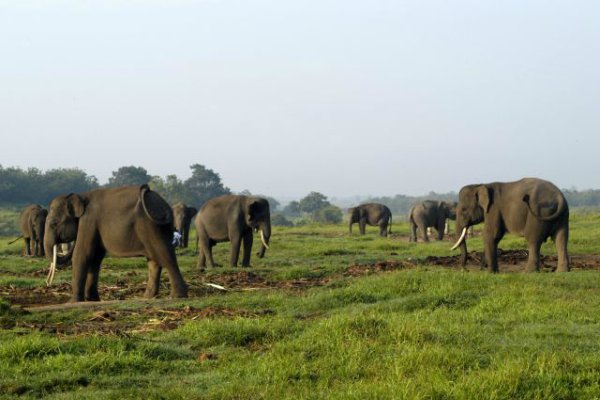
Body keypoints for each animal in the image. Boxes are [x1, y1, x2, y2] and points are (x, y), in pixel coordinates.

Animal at [44, 184, 188, 300]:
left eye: (54, 223)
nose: (47, 284)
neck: (80, 196)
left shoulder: (88, 222)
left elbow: (81, 255)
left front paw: (73, 302)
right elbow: (95, 258)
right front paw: (92, 300)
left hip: (151, 227)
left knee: (165, 255)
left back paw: (177, 296)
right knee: (154, 260)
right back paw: (147, 297)